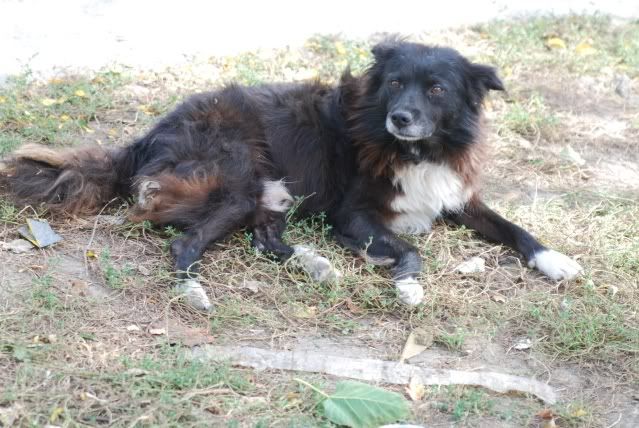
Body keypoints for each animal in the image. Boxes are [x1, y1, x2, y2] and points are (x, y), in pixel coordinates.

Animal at [1, 38, 580, 310]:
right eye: (395, 82)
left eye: (437, 89)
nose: (400, 117)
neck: (417, 150)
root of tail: (148, 135)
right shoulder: (354, 215)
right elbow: (411, 249)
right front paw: (408, 285)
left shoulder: (457, 194)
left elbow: (513, 228)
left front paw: (556, 260)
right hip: (242, 180)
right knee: (187, 245)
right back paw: (195, 293)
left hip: (275, 191)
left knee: (264, 238)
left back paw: (315, 263)